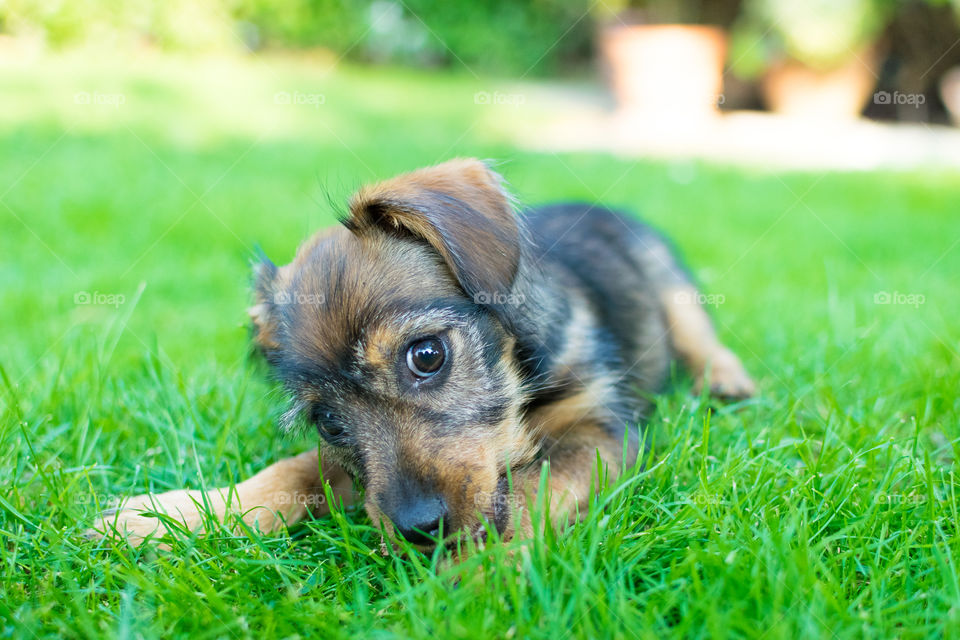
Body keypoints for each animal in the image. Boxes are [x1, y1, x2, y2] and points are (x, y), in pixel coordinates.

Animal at [99, 159, 756, 552]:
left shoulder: (598, 431)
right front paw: (178, 513)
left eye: (427, 356)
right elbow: (296, 468)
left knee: (702, 337)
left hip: (672, 285)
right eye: (328, 420)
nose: (420, 531)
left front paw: (476, 574)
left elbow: (528, 492)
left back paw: (726, 382)